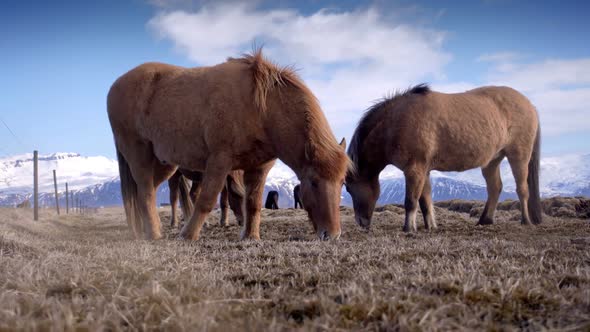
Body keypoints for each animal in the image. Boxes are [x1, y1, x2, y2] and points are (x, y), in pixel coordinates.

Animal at [107, 48, 350, 241]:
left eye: (342, 183)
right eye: (314, 182)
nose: (332, 235)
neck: (261, 109)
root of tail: (116, 86)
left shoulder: (259, 168)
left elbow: (253, 203)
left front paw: (250, 236)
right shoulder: (220, 161)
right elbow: (207, 200)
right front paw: (188, 235)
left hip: (164, 165)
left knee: (147, 190)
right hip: (139, 155)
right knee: (146, 191)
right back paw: (155, 233)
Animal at [346, 84, 544, 232]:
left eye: (348, 188)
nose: (361, 222)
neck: (395, 123)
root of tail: (530, 105)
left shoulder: (414, 170)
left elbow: (411, 201)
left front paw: (408, 228)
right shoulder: (423, 171)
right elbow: (425, 201)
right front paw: (430, 226)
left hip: (519, 155)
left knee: (522, 189)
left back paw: (526, 221)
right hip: (492, 160)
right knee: (495, 187)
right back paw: (484, 220)